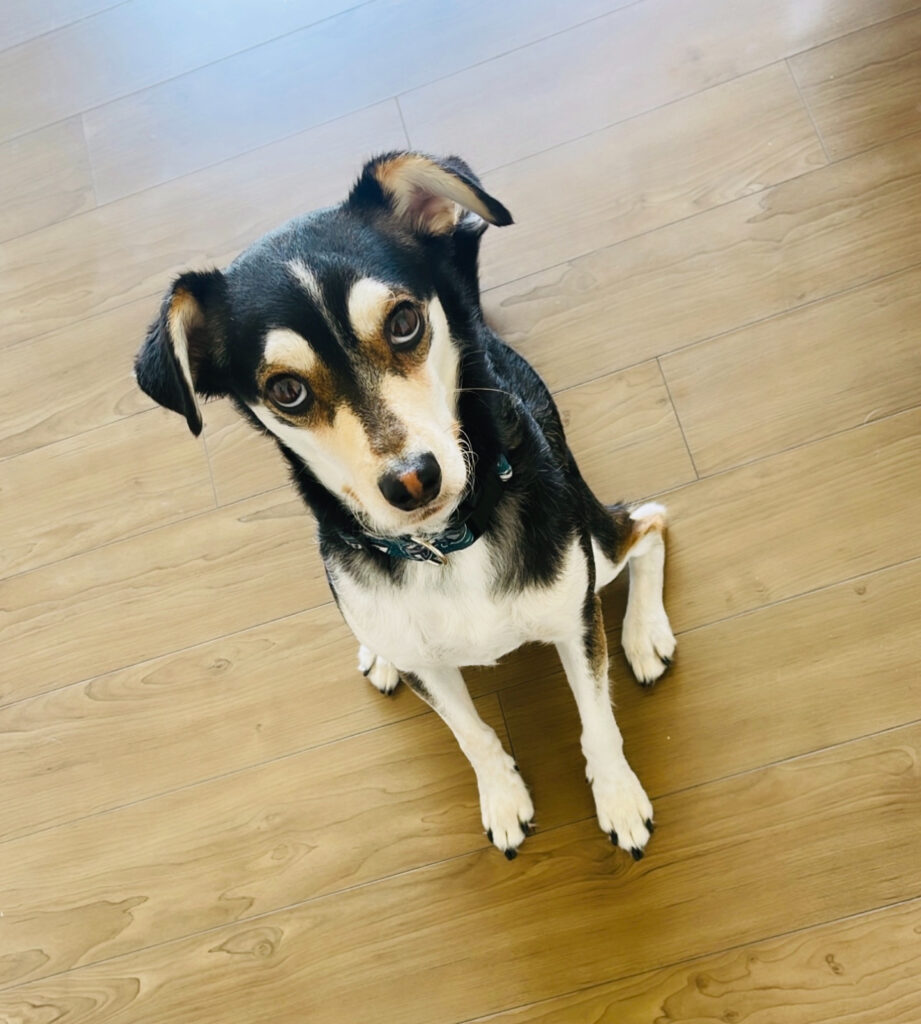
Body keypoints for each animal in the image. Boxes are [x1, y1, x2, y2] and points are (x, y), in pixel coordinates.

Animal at [140, 149, 680, 856]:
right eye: (286, 390)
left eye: (403, 323)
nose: (412, 479)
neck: (446, 543)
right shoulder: (431, 666)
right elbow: (471, 734)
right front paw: (502, 796)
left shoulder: (573, 619)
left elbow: (598, 722)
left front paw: (617, 797)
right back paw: (380, 655)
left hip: (595, 542)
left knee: (648, 526)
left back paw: (645, 636)